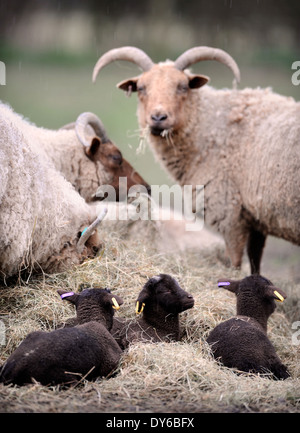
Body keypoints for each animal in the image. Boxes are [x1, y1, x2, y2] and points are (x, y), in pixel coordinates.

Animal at [92, 46, 300, 274]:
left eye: (183, 86)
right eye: (141, 88)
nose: (158, 118)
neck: (211, 129)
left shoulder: (230, 214)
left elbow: (235, 263)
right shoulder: (256, 219)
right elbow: (255, 263)